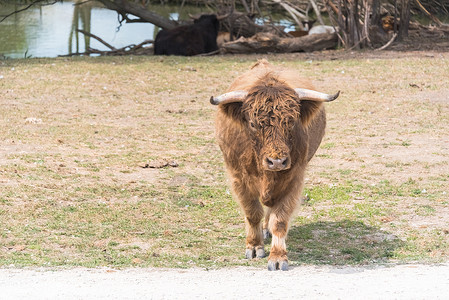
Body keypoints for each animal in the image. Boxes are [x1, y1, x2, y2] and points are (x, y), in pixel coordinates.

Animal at [210, 59, 340, 270]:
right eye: (253, 124)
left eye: (291, 121)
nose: (277, 161)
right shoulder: (238, 176)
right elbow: (252, 212)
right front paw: (254, 247)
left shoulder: (294, 178)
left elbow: (279, 219)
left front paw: (278, 258)